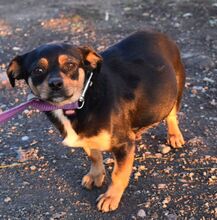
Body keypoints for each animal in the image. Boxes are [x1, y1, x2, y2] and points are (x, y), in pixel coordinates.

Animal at [7, 30, 186, 212]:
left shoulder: (123, 145)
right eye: (38, 70)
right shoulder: (86, 138)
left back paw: (174, 135)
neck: (80, 100)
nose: (55, 84)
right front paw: (95, 176)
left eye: (70, 65)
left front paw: (110, 197)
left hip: (176, 88)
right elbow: (94, 156)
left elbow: (118, 174)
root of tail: (158, 33)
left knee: (171, 115)